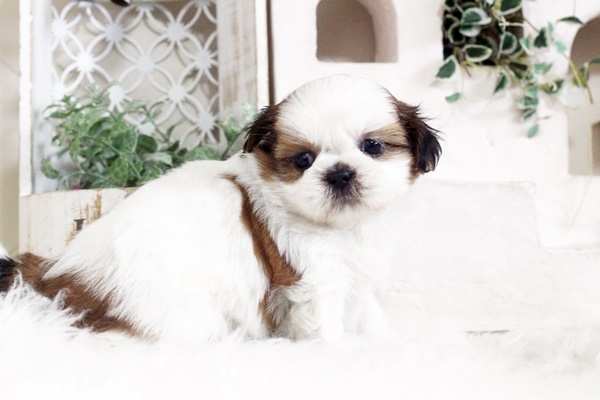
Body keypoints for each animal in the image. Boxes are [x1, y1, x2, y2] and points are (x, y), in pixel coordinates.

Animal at [0, 75, 441, 341]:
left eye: (373, 146)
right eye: (303, 160)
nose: (340, 173)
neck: (340, 227)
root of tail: (58, 274)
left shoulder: (356, 276)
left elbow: (368, 314)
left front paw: (382, 343)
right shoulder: (315, 280)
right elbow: (326, 327)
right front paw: (340, 356)